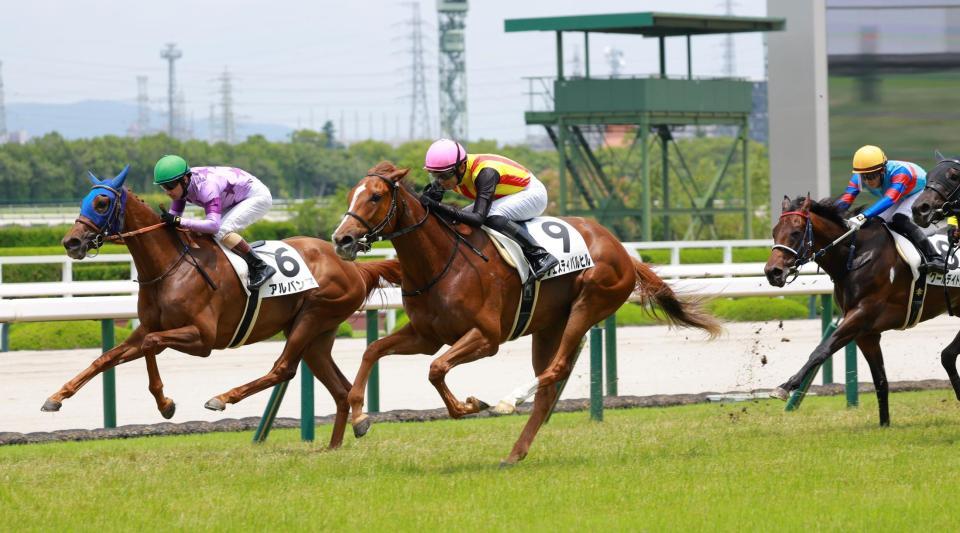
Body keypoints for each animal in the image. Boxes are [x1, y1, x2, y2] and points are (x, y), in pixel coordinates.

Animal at [54, 166, 400, 449]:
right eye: (84, 200)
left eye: (102, 203)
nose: (71, 242)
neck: (171, 266)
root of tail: (353, 269)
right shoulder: (150, 327)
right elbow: (107, 358)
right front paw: (56, 397)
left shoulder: (203, 338)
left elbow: (151, 345)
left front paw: (165, 404)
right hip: (319, 335)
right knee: (340, 390)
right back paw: (341, 440)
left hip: (314, 315)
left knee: (283, 368)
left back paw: (221, 398)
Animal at [330, 161, 722, 465]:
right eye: (351, 195)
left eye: (375, 196)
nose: (341, 240)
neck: (442, 261)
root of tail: (623, 252)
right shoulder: (427, 335)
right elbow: (374, 351)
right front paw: (360, 417)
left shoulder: (486, 337)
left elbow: (436, 369)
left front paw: (471, 404)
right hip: (548, 326)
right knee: (548, 385)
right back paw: (515, 452)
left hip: (590, 302)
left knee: (556, 369)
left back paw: (508, 401)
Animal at [765, 195, 960, 426]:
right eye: (774, 231)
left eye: (796, 232)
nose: (772, 272)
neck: (856, 255)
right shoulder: (866, 333)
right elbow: (880, 381)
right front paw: (884, 425)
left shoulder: (861, 314)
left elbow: (820, 351)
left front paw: (785, 387)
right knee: (948, 355)